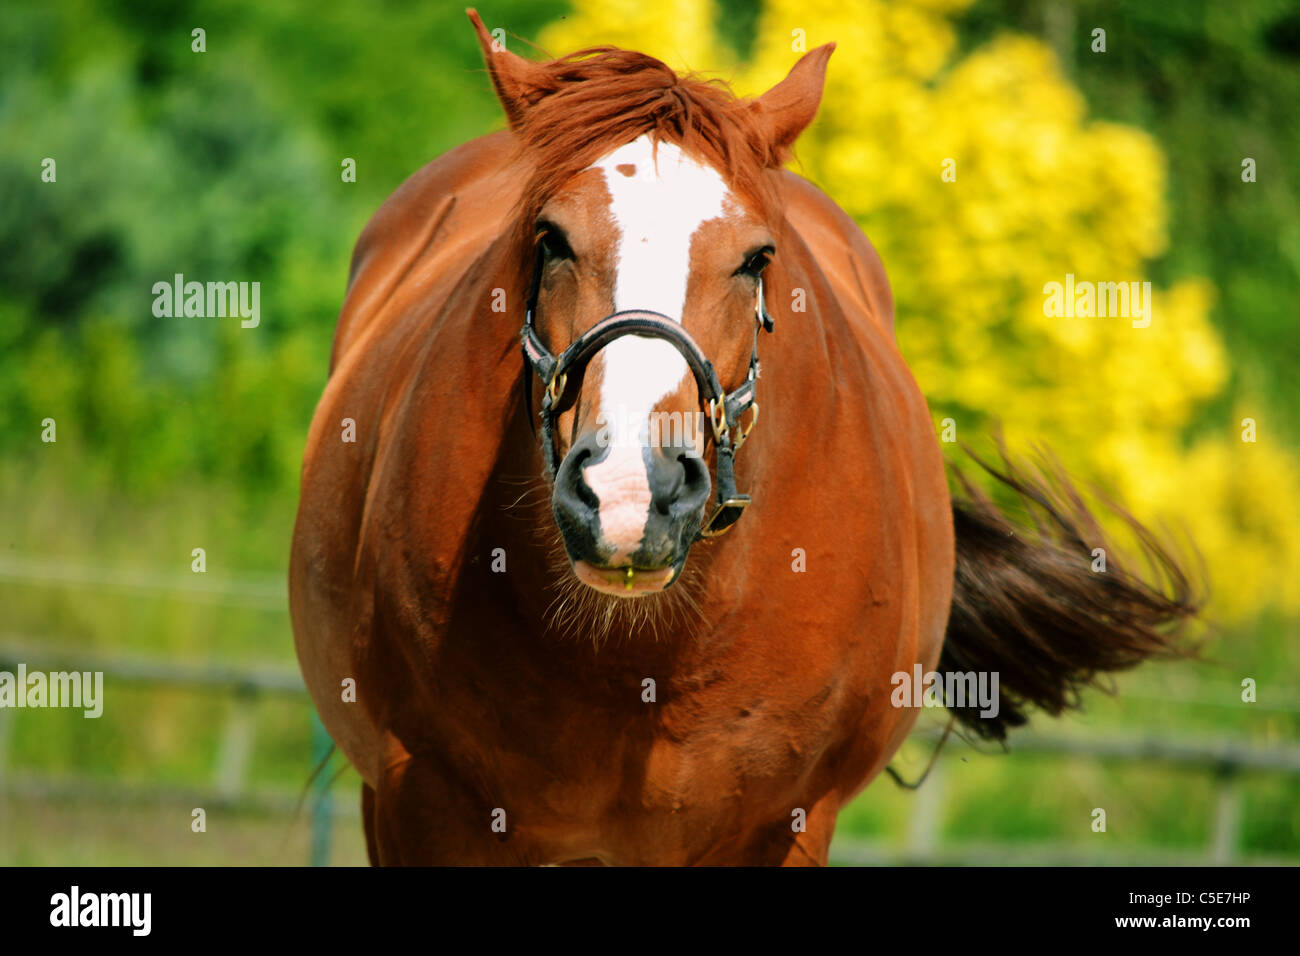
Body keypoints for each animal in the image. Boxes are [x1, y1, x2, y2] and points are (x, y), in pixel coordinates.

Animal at [289, 10, 1196, 865]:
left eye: (757, 258)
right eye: (550, 239)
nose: (630, 491)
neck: (639, 662)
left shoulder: (786, 825)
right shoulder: (419, 810)